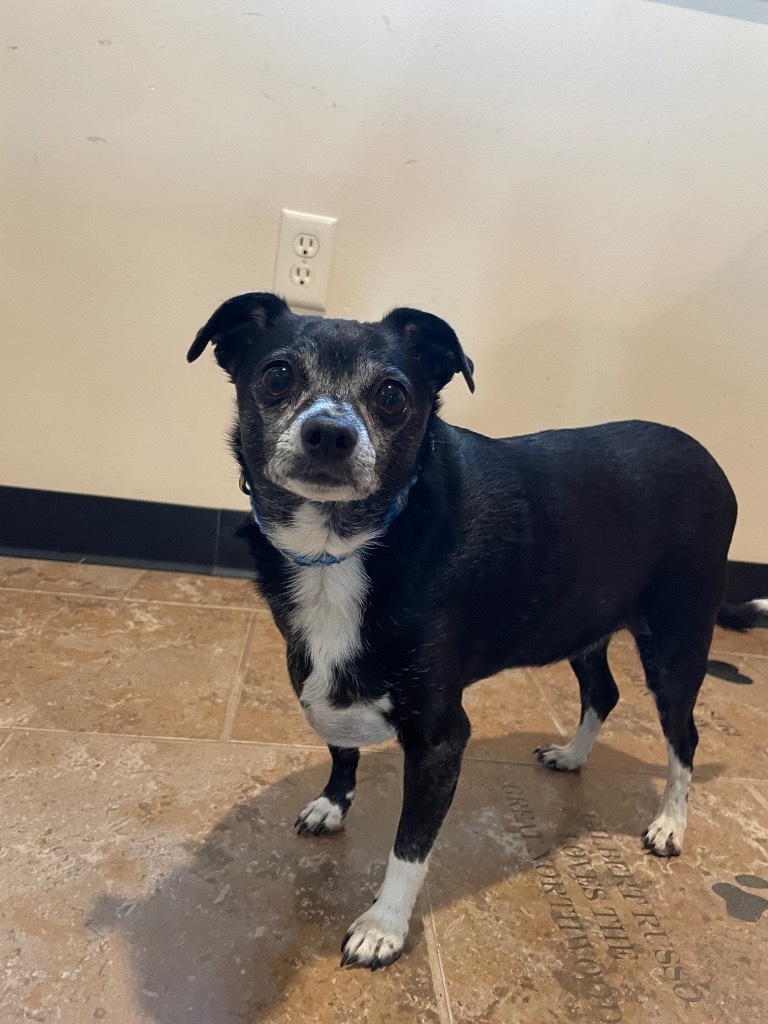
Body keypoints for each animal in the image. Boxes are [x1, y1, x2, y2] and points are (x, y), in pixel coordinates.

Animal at [188, 294, 768, 966]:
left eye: (392, 394)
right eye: (277, 376)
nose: (329, 432)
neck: (342, 547)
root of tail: (711, 461)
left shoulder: (442, 738)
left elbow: (410, 847)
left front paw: (384, 925)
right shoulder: (316, 672)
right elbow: (339, 742)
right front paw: (334, 802)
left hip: (676, 643)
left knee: (684, 738)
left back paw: (671, 822)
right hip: (582, 621)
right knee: (604, 692)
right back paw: (572, 756)